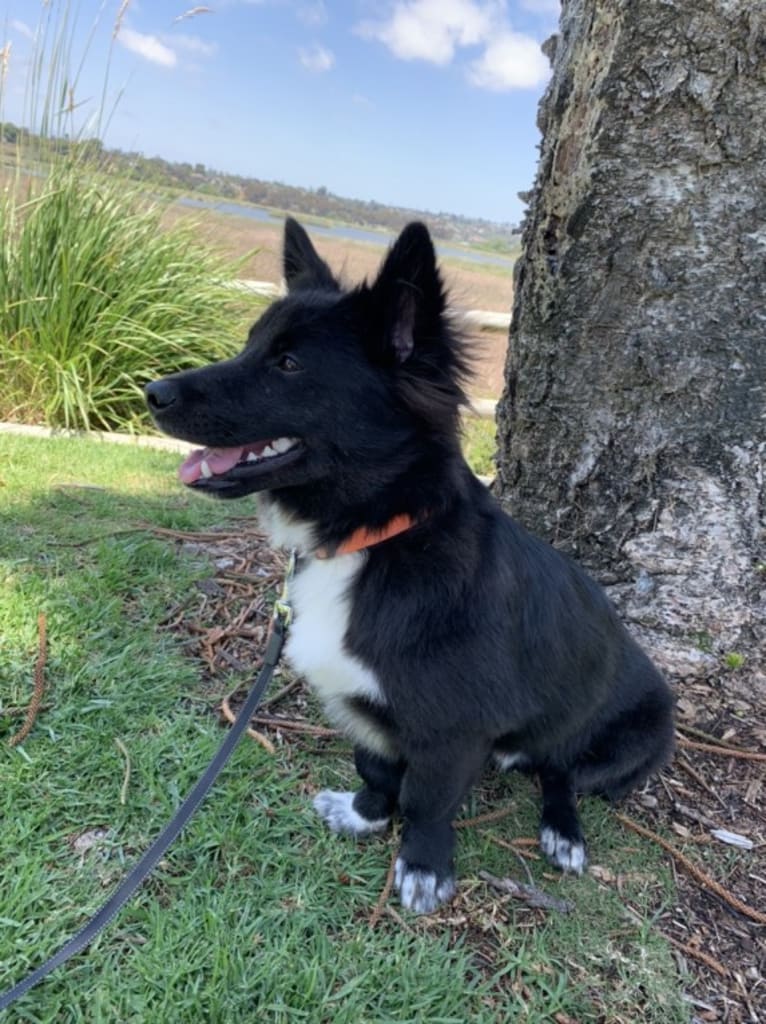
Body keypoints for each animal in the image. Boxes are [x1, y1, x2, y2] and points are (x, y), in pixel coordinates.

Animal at [146, 222, 671, 913]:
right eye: (251, 344)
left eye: (289, 364)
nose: (151, 393)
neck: (374, 537)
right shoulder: (368, 707)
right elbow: (377, 768)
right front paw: (366, 813)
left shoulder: (450, 731)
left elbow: (427, 799)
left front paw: (423, 865)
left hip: (625, 742)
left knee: (559, 771)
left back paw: (563, 831)